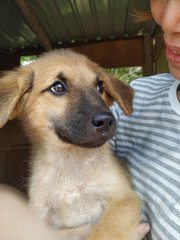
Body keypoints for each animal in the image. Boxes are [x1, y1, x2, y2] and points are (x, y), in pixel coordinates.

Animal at [0, 49, 149, 240]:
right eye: (57, 87)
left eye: (100, 87)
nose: (106, 121)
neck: (70, 164)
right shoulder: (40, 215)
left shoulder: (123, 198)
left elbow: (104, 232)